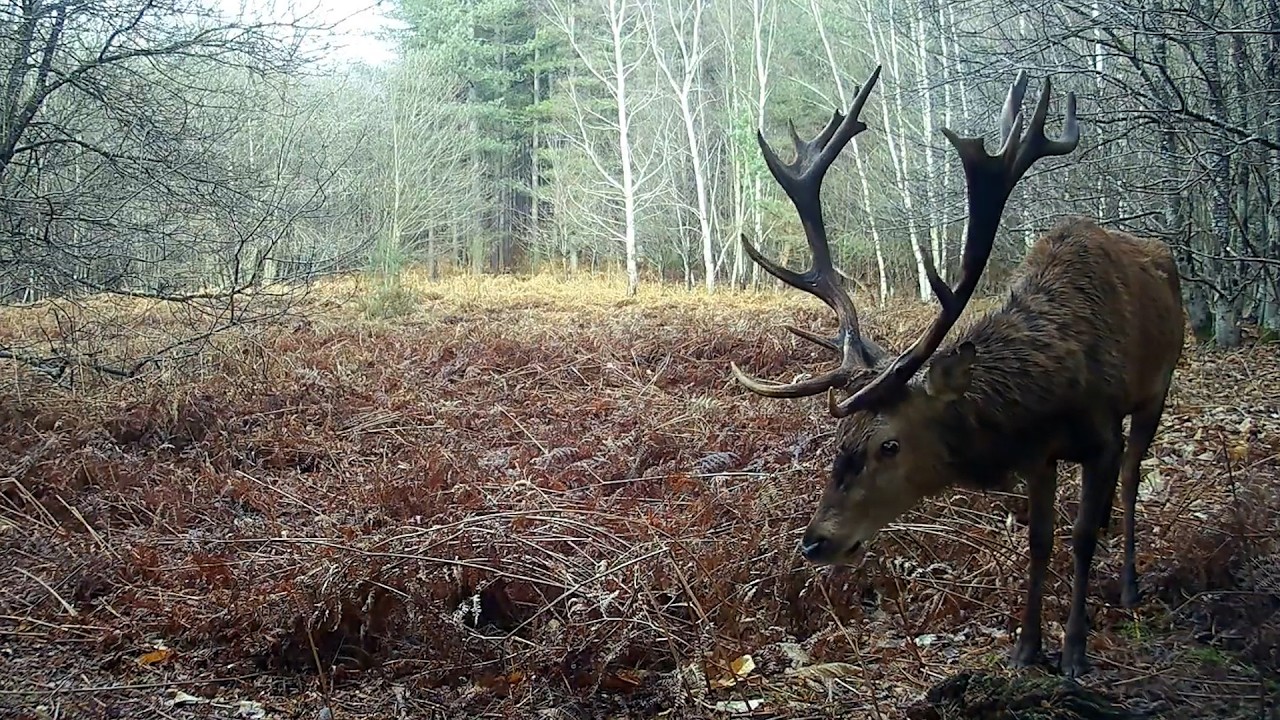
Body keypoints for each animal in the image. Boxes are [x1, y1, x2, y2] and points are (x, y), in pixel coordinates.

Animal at [728, 66, 1185, 678]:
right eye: (838, 439)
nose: (815, 542)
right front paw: (1026, 647)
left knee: (1135, 475)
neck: (1049, 398)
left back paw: (1131, 583)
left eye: (889, 445)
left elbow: (1080, 535)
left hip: (1158, 388)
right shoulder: (1039, 455)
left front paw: (1074, 650)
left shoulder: (1102, 435)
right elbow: (1040, 540)